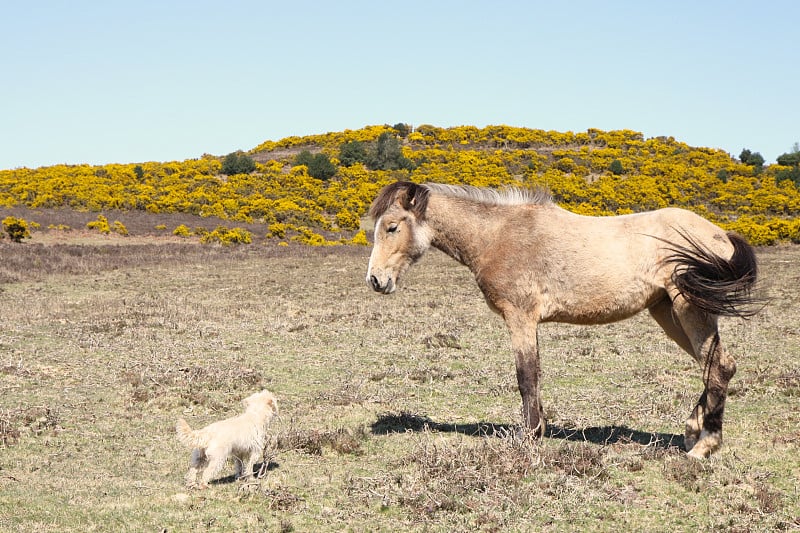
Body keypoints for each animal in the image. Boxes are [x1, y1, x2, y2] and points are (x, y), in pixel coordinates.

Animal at [366, 182, 760, 458]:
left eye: (392, 227)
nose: (375, 280)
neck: (498, 235)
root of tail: (720, 233)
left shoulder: (520, 317)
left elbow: (526, 376)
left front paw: (528, 438)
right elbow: (535, 374)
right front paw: (539, 429)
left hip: (688, 307)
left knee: (720, 366)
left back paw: (703, 447)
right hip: (665, 311)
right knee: (713, 367)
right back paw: (693, 431)